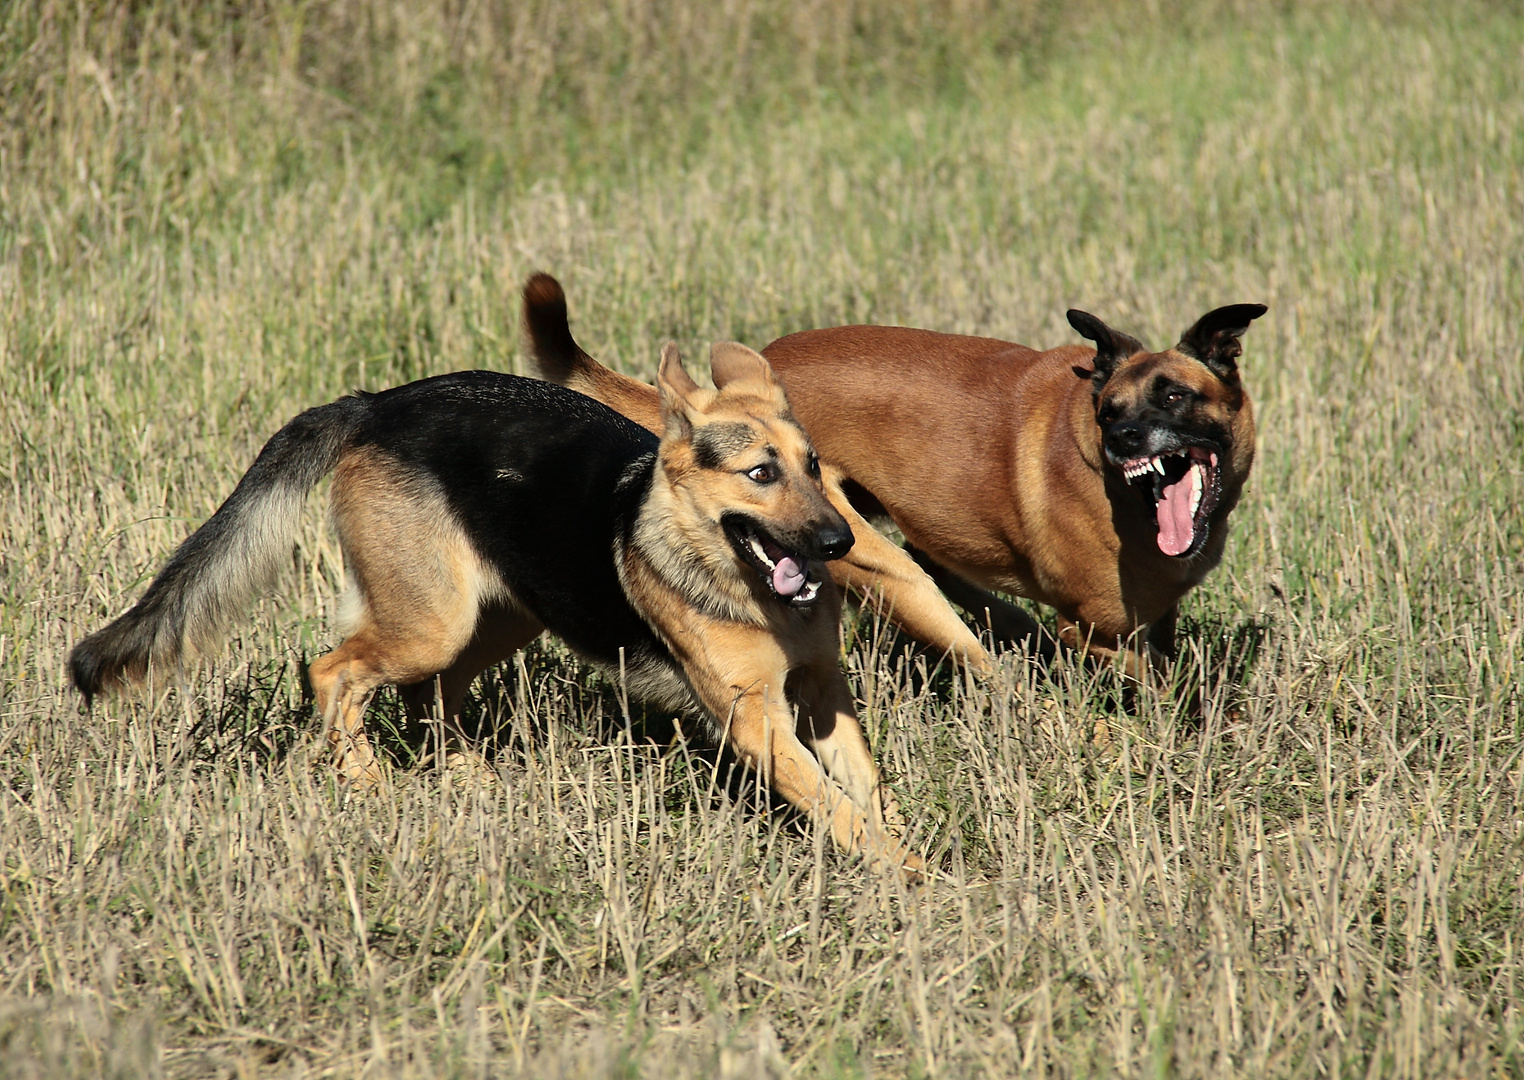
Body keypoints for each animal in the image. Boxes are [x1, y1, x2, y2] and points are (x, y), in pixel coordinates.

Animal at [71, 347, 920, 877]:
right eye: (760, 473)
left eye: (813, 466)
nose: (843, 542)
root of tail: (377, 404)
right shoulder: (757, 721)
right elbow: (838, 807)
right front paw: (906, 874)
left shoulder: (823, 694)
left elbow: (867, 788)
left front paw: (906, 848)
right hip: (430, 625)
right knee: (334, 672)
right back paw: (370, 785)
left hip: (502, 617)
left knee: (431, 698)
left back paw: (471, 785)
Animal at [524, 274, 1261, 685]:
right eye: (1109, 411)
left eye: (1174, 397)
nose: (1124, 438)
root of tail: (731, 395)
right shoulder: (1099, 634)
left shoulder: (1150, 620)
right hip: (887, 571)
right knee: (986, 662)